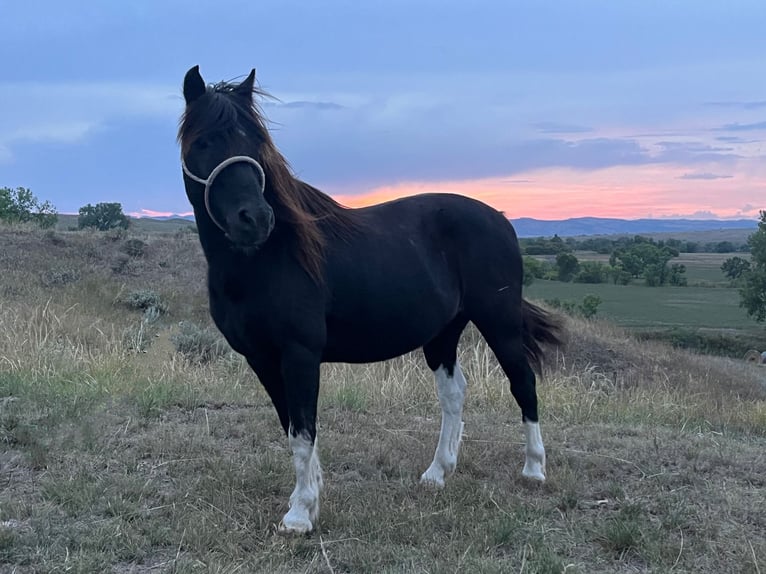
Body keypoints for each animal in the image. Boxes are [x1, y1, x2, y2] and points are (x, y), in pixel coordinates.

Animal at [178, 66, 564, 536]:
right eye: (203, 142)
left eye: (256, 142)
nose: (255, 219)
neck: (269, 258)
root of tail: (502, 219)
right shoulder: (262, 358)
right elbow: (292, 426)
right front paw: (310, 497)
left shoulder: (299, 354)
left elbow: (303, 432)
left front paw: (300, 514)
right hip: (443, 334)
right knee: (453, 393)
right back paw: (437, 473)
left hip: (499, 322)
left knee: (523, 382)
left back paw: (533, 469)